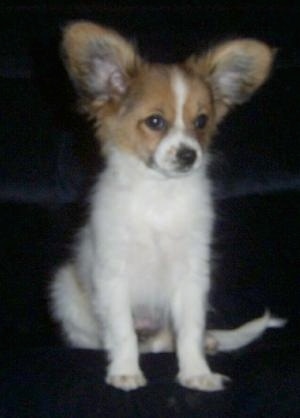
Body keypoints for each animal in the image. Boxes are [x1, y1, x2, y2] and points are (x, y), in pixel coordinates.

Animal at [49, 21, 284, 390]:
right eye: (155, 122)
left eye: (201, 121)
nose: (189, 155)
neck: (159, 197)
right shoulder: (113, 274)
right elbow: (123, 332)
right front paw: (125, 371)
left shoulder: (192, 276)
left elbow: (189, 331)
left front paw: (197, 373)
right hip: (65, 291)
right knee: (117, 339)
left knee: (166, 341)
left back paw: (205, 343)